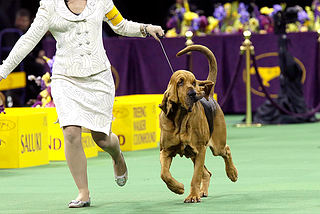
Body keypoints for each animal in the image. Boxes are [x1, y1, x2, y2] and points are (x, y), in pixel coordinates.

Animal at [159, 44, 238, 202]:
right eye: (180, 82)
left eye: (194, 82)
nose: (193, 93)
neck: (180, 120)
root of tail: (209, 95)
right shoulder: (165, 151)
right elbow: (164, 174)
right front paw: (178, 188)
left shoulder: (200, 149)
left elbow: (195, 177)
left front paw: (192, 196)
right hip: (193, 155)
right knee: (206, 173)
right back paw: (203, 191)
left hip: (216, 147)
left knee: (226, 150)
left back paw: (232, 173)